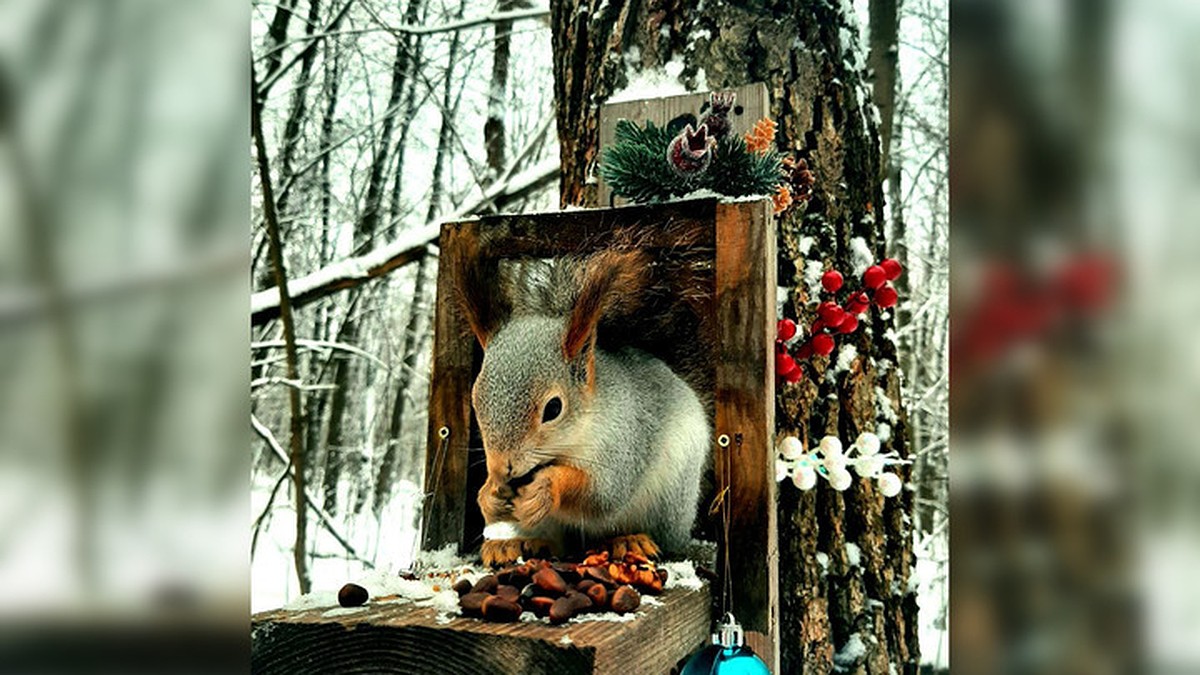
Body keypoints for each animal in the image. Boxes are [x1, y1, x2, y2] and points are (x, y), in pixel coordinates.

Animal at [453, 243, 705, 564]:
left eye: (553, 408)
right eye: (476, 401)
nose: (501, 468)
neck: (568, 443)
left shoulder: (626, 439)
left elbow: (603, 493)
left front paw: (546, 487)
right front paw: (489, 495)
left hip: (669, 499)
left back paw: (629, 541)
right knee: (555, 544)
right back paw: (514, 545)